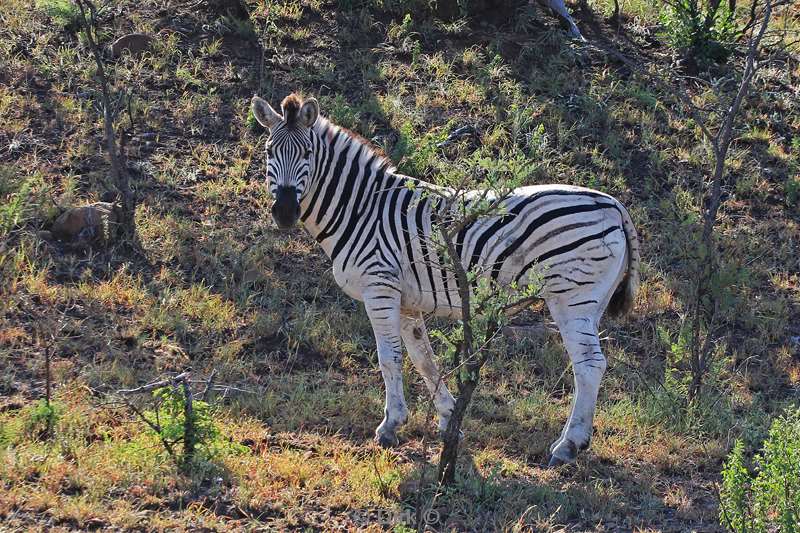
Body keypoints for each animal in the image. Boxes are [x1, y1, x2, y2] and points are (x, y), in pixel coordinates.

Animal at [253, 93, 640, 464]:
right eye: (270, 152)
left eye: (307, 153)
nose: (284, 213)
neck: (360, 210)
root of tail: (612, 204)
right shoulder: (405, 300)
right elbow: (423, 358)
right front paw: (447, 421)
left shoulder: (380, 287)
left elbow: (389, 358)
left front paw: (389, 427)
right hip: (593, 301)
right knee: (592, 363)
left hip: (571, 298)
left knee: (589, 365)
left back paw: (568, 446)